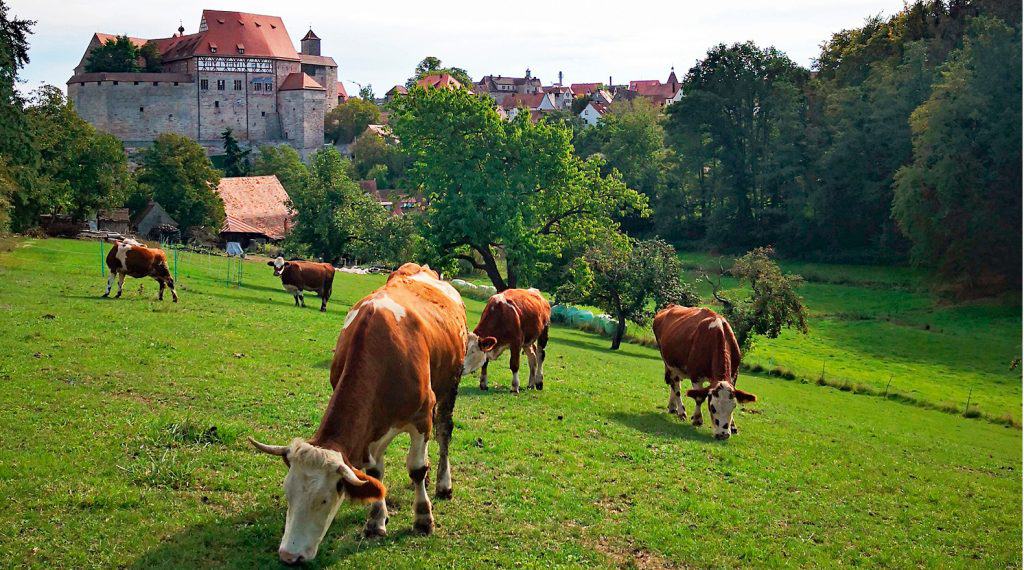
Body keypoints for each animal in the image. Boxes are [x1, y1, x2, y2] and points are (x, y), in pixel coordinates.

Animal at [249, 264, 466, 564]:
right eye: (287, 493)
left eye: (325, 499)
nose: (289, 555)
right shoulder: (371, 429)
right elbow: (374, 474)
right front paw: (376, 521)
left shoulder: (421, 417)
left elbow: (417, 467)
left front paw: (423, 519)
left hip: (449, 386)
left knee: (444, 433)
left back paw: (444, 485)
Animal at [651, 304, 757, 437]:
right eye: (712, 408)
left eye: (733, 407)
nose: (723, 434)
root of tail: (671, 306)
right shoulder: (696, 375)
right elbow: (699, 398)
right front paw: (697, 419)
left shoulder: (734, 375)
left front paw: (733, 426)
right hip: (669, 363)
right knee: (675, 385)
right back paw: (681, 411)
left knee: (674, 383)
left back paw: (672, 406)